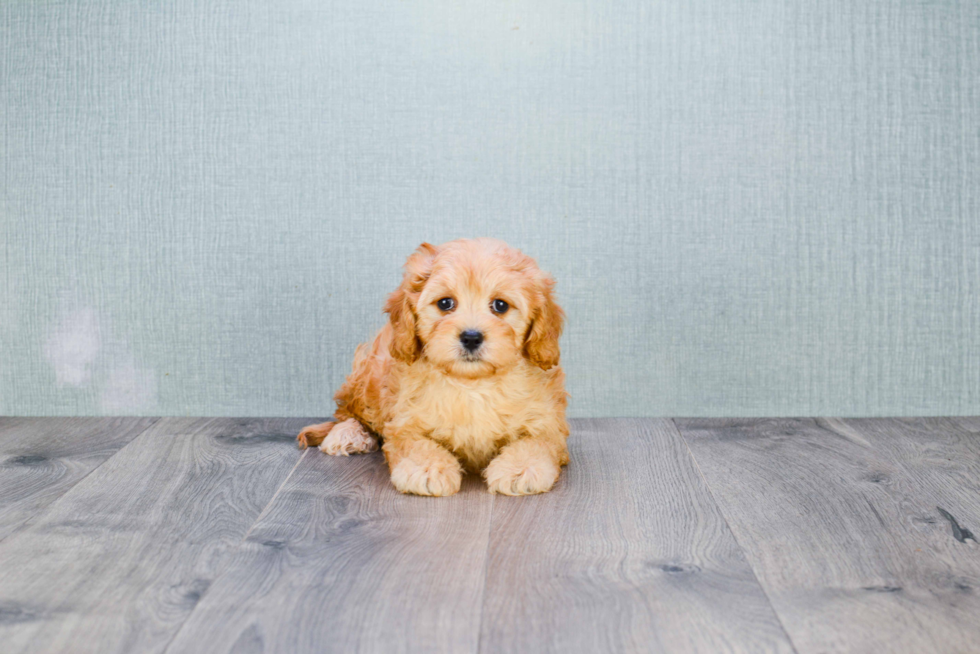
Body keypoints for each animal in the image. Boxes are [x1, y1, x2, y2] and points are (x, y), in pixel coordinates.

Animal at [292, 238, 568, 500]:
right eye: (445, 303)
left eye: (500, 305)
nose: (471, 337)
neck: (472, 384)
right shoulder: (404, 421)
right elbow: (415, 443)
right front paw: (427, 469)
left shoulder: (548, 421)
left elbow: (538, 442)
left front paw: (521, 468)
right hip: (368, 374)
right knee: (348, 411)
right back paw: (346, 434)